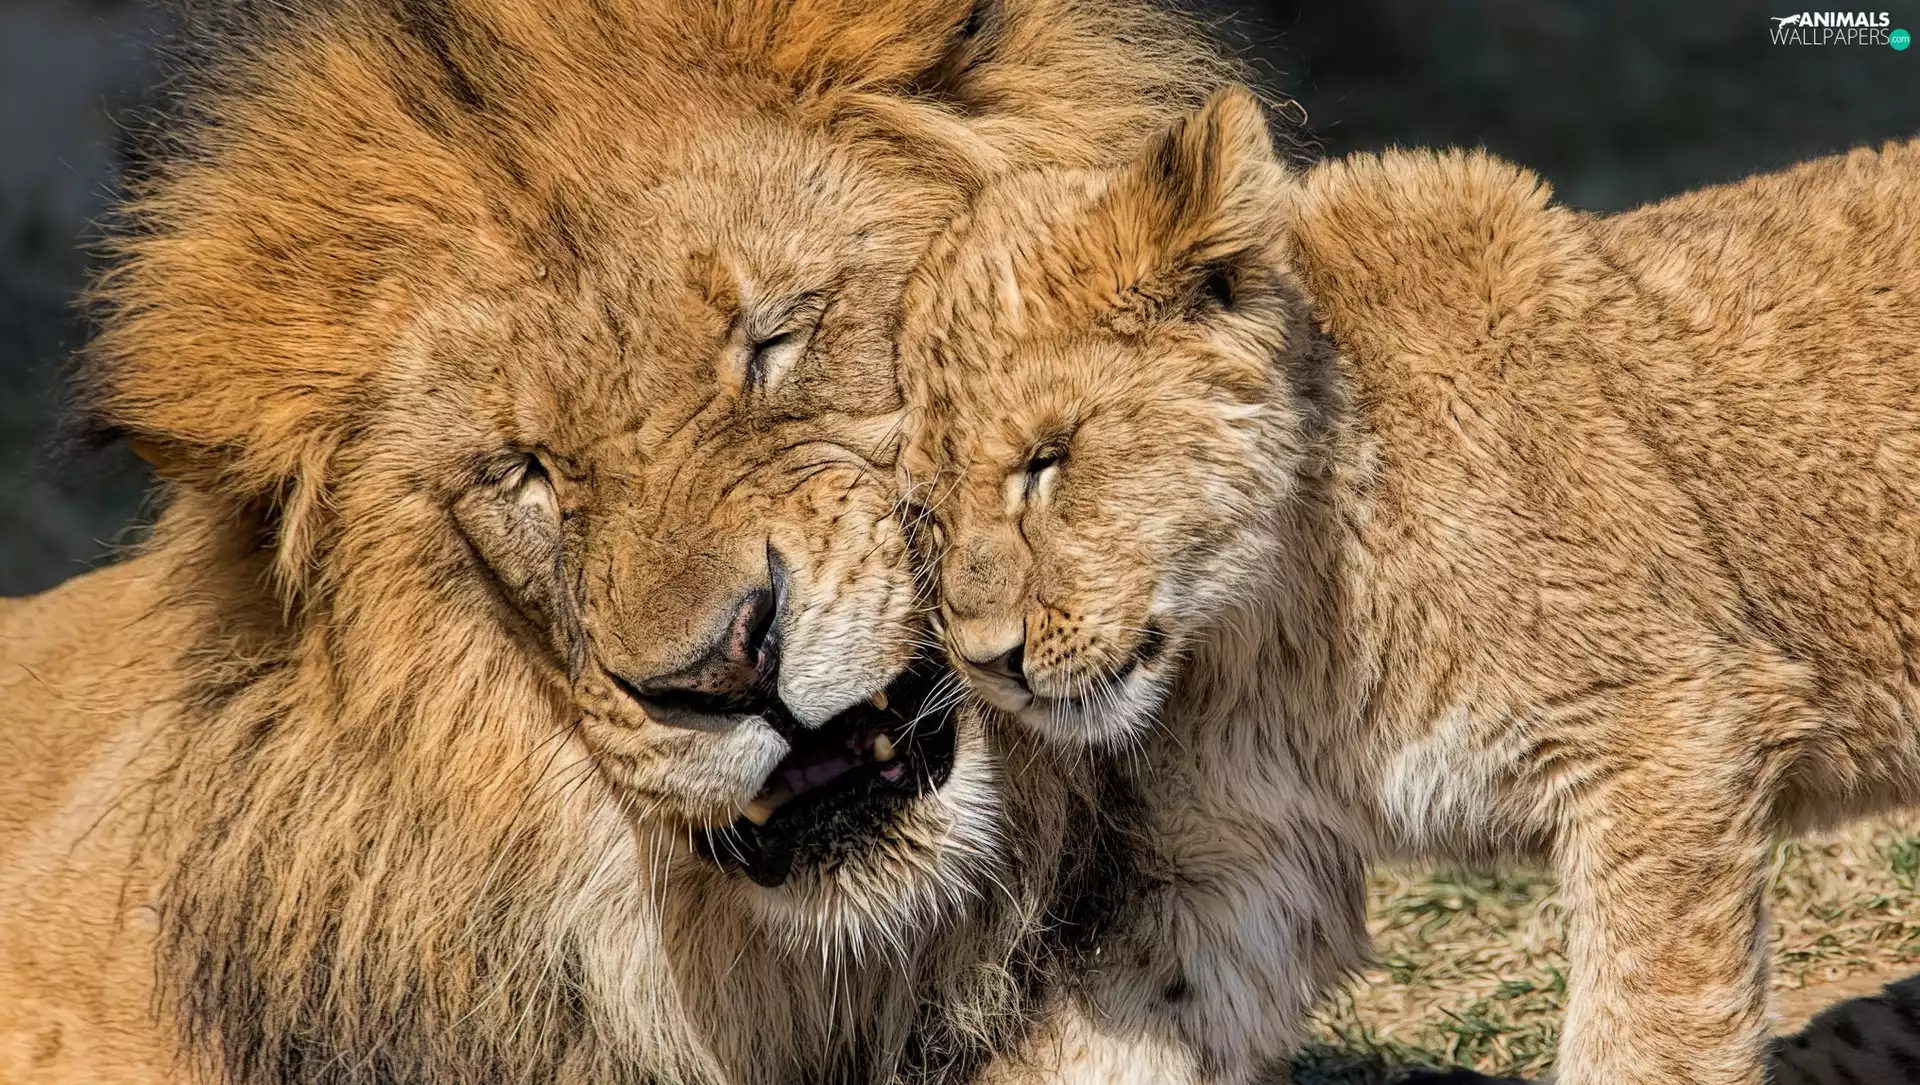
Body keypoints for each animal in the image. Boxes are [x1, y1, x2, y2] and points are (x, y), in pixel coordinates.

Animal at [899, 87, 1920, 1085]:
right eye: (923, 512)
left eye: (1047, 459)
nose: (989, 662)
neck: (1272, 624)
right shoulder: (1240, 858)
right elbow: (1095, 1038)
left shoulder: (1674, 724)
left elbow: (1644, 1035)